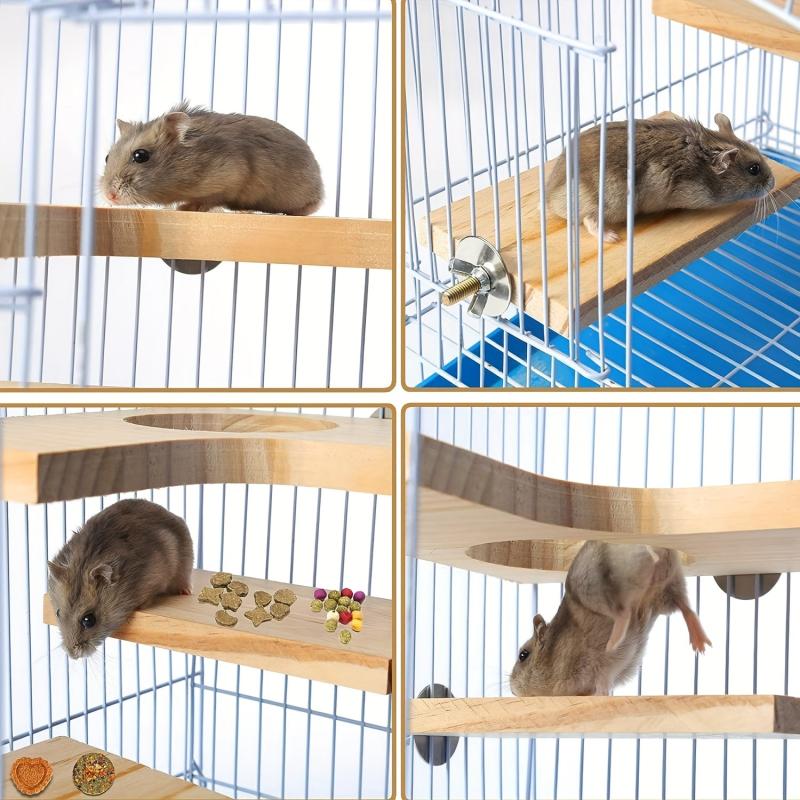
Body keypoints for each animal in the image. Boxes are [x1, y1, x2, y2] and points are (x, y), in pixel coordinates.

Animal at [47, 499, 194, 659]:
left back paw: (185, 591)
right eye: (58, 613)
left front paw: (139, 607)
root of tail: (168, 512)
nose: (72, 655)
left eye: (89, 620)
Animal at [100, 102, 324, 215]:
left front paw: (185, 207)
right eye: (107, 157)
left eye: (140, 156)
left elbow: (209, 198)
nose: (109, 196)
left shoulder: (229, 178)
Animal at [509, 541, 710, 697]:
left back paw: (613, 641)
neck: (554, 654)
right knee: (686, 608)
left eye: (523, 655)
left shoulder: (596, 667)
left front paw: (599, 694)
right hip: (667, 588)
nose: (512, 690)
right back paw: (700, 644)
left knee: (623, 612)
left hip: (594, 588)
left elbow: (601, 684)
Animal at [547, 112, 775, 242]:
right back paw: (611, 237)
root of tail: (550, 200)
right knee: (589, 220)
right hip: (609, 201)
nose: (773, 183)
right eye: (754, 169)